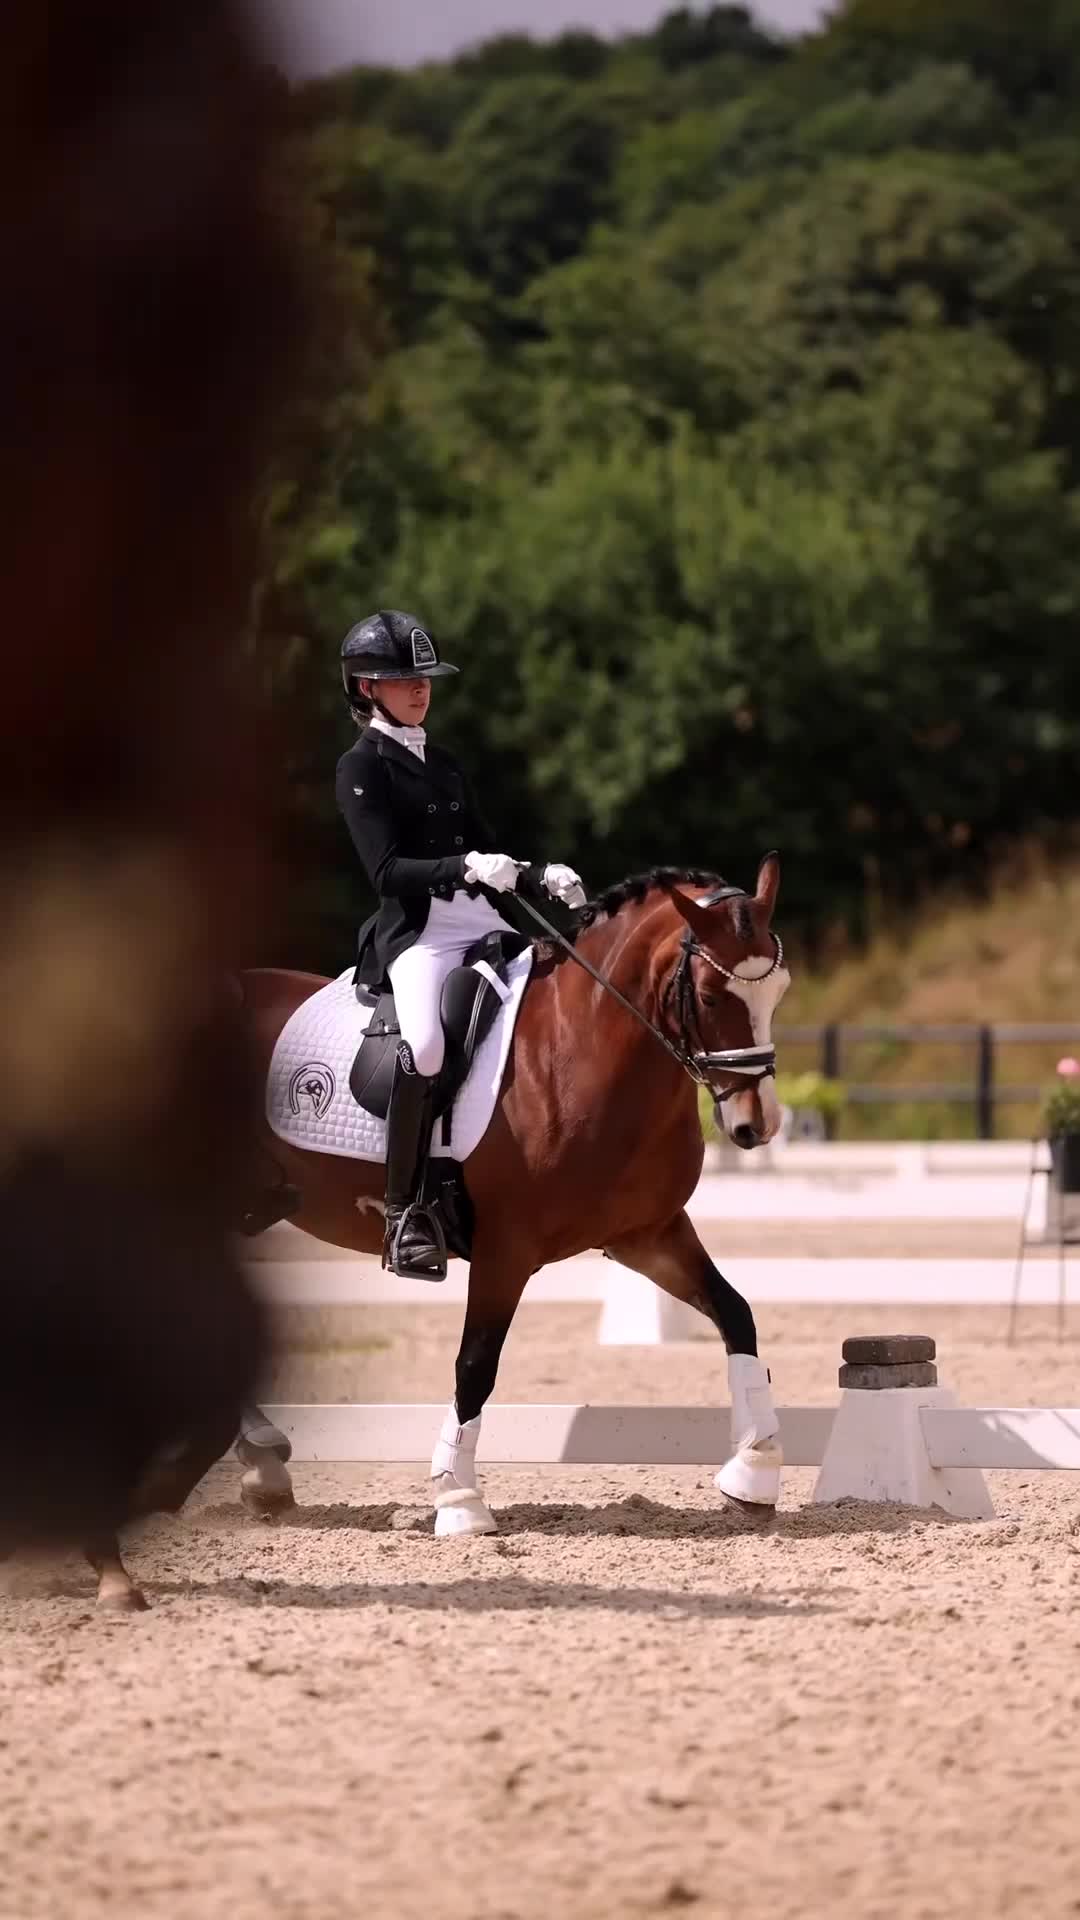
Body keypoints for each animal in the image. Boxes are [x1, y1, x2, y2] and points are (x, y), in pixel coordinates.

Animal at [239, 854, 790, 1537]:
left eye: (779, 989)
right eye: (712, 995)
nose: (756, 1125)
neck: (579, 1047)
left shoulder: (647, 1234)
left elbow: (736, 1314)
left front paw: (753, 1473)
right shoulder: (508, 1248)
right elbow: (475, 1364)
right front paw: (458, 1500)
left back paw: (262, 1463)